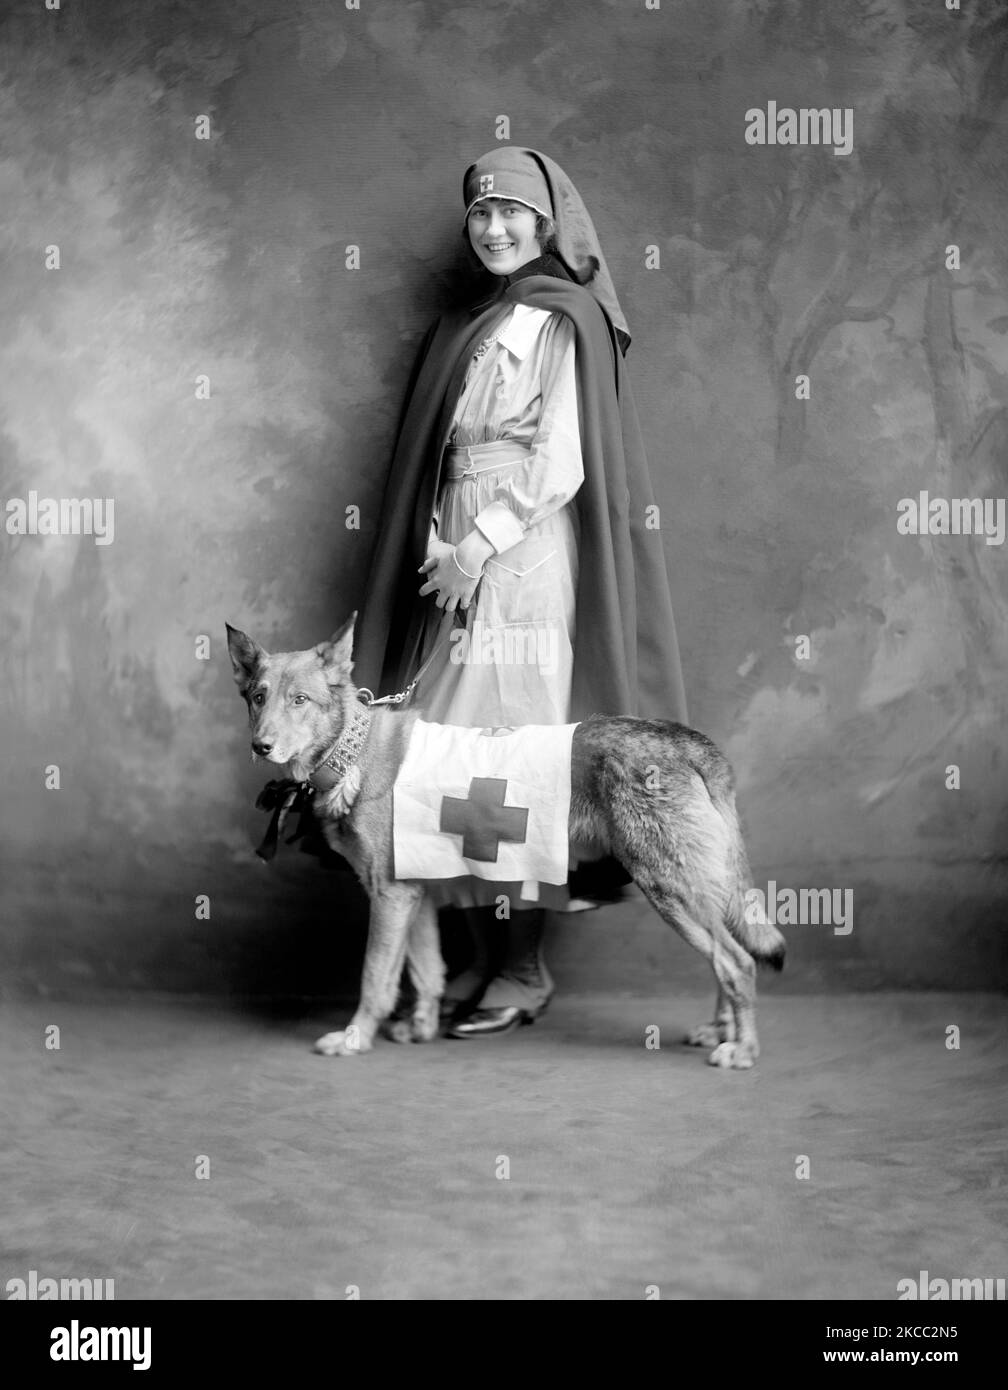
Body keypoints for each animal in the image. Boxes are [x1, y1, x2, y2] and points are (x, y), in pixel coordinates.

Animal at [228, 614, 784, 1067]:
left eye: (300, 700)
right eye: (258, 697)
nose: (261, 746)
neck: (352, 749)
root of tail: (685, 741)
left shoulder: (389, 894)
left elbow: (376, 976)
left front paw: (354, 1037)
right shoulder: (414, 893)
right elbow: (427, 969)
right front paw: (421, 1026)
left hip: (668, 887)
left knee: (737, 962)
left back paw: (743, 1049)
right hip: (697, 889)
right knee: (728, 955)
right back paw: (721, 1030)